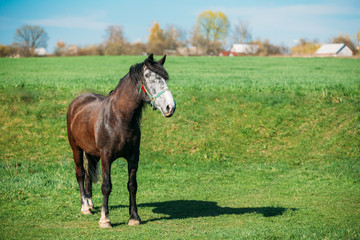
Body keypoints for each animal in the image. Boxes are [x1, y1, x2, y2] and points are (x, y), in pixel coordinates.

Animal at [67, 53, 176, 228]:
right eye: (149, 78)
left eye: (165, 78)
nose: (170, 107)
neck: (119, 119)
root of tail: (78, 101)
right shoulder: (106, 157)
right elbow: (106, 186)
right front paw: (105, 219)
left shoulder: (133, 157)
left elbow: (132, 186)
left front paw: (134, 217)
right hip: (76, 149)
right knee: (80, 174)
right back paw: (85, 207)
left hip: (92, 153)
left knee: (89, 176)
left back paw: (90, 204)